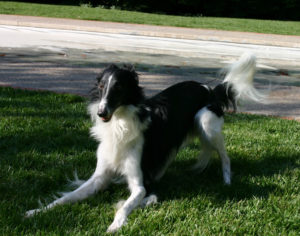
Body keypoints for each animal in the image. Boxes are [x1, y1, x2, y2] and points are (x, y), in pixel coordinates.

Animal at [25, 52, 264, 231]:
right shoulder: (99, 177)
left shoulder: (139, 184)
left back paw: (227, 181)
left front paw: (116, 224)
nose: (102, 113)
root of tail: (209, 88)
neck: (120, 124)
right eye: (101, 87)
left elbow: (126, 205)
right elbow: (66, 198)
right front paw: (37, 210)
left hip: (206, 123)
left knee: (225, 156)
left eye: (119, 87)